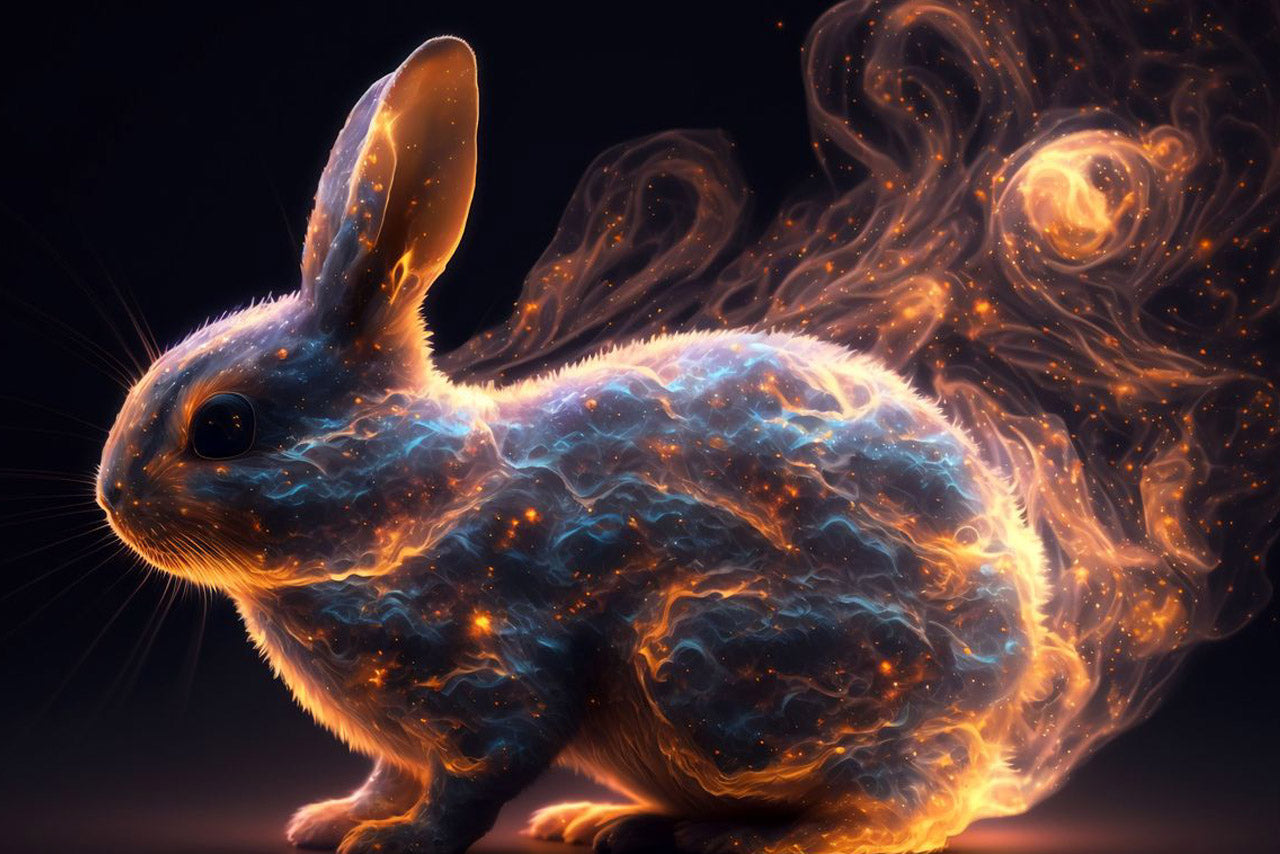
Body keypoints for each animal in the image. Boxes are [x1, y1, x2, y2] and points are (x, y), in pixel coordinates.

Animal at [97, 36, 1049, 854]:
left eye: (223, 428)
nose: (112, 499)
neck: (411, 498)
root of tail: (1001, 704)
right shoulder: (403, 736)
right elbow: (390, 775)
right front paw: (332, 821)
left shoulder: (493, 681)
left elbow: (471, 782)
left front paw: (395, 841)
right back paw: (601, 822)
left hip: (712, 674)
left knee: (890, 811)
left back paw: (744, 837)